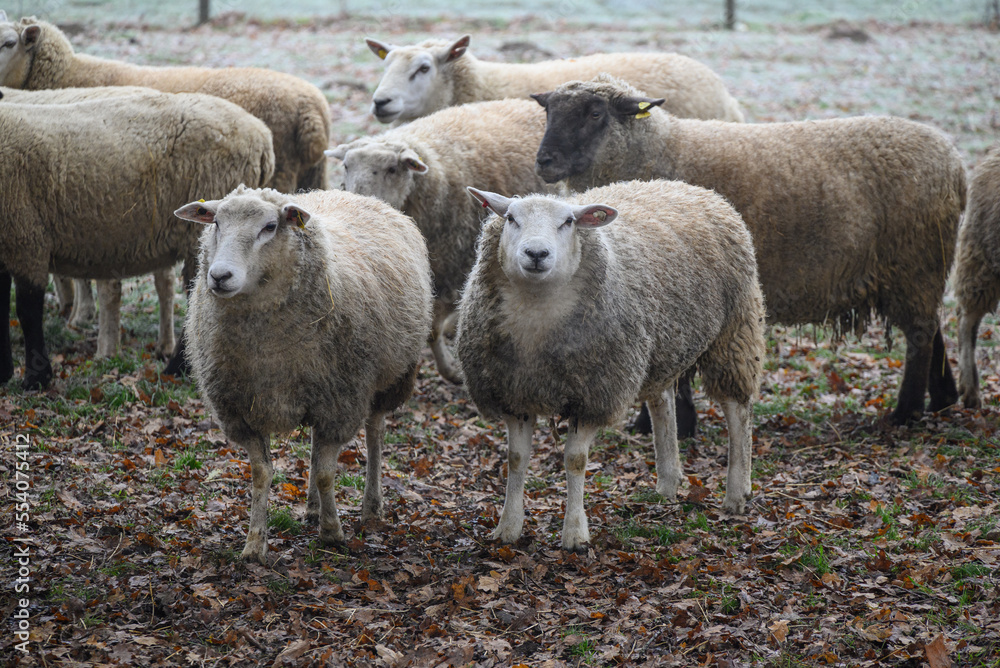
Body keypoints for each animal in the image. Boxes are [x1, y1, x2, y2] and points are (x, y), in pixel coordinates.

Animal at [0, 87, 274, 389]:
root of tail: (262, 136)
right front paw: (5, 373)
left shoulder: (25, 237)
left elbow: (27, 310)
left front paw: (35, 378)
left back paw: (176, 369)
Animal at [175, 186, 433, 563]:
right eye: (217, 222)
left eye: (270, 226)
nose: (220, 276)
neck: (268, 350)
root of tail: (349, 193)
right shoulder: (242, 409)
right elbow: (261, 473)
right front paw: (254, 543)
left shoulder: (340, 399)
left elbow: (327, 474)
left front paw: (332, 533)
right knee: (314, 443)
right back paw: (311, 507)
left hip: (389, 377)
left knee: (375, 434)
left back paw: (371, 507)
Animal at [327, 98, 558, 383]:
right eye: (346, 166)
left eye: (392, 169)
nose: (359, 200)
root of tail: (523, 102)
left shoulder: (449, 270)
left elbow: (433, 330)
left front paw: (450, 370)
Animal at [457, 180, 765, 551]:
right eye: (511, 219)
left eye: (568, 223)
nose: (536, 254)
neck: (536, 314)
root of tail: (693, 187)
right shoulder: (513, 393)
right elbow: (516, 459)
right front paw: (508, 528)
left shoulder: (594, 395)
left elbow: (575, 461)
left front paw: (575, 533)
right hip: (658, 346)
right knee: (662, 402)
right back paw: (667, 482)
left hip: (733, 331)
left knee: (738, 410)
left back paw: (736, 492)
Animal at [533, 75, 966, 427]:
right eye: (549, 112)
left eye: (595, 113)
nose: (544, 161)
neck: (662, 149)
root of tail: (954, 161)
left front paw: (672, 424)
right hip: (920, 266)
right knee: (933, 328)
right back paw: (944, 400)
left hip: (915, 260)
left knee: (921, 334)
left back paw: (906, 413)